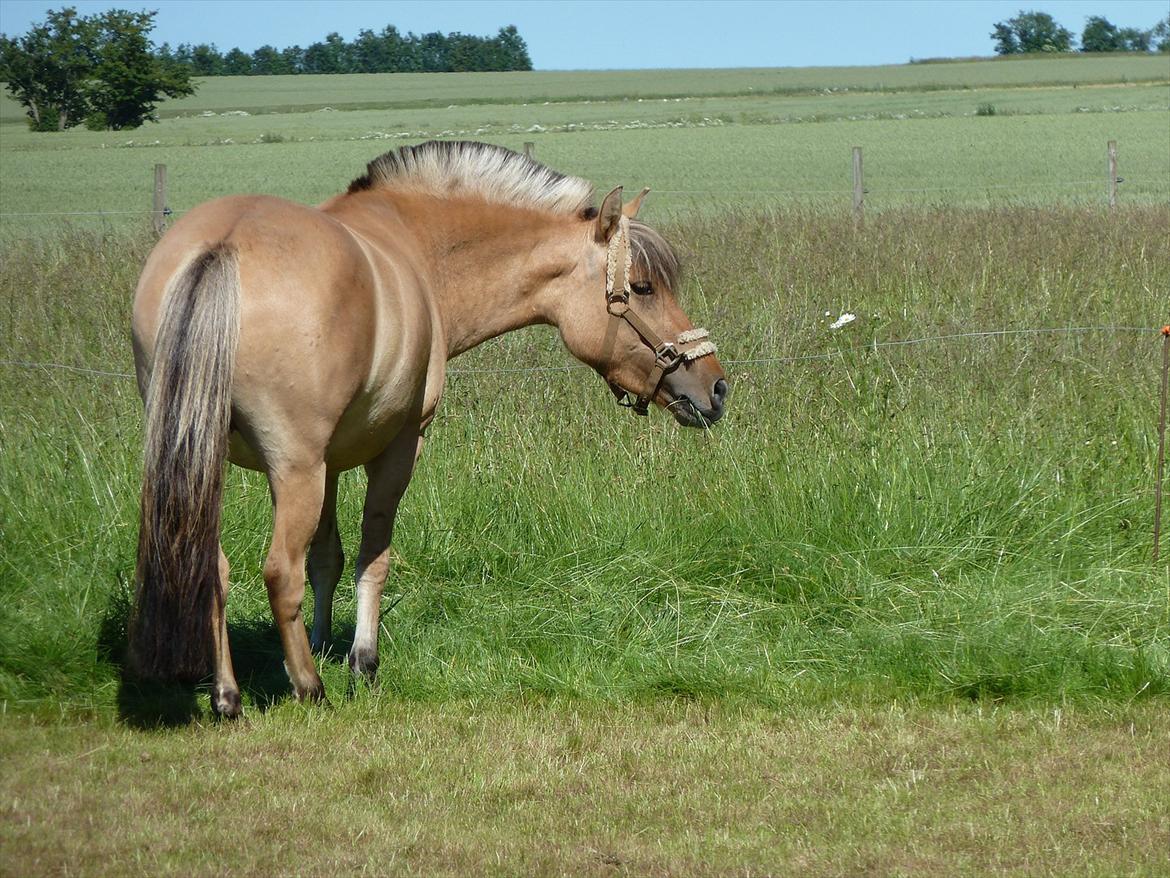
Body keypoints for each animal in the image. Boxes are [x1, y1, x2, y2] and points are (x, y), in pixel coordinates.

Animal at [132, 139, 725, 716]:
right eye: (642, 287)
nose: (715, 387)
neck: (416, 247)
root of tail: (224, 247)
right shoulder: (397, 447)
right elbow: (373, 556)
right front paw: (362, 664)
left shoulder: (332, 462)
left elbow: (328, 557)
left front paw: (321, 644)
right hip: (293, 469)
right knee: (280, 572)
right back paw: (309, 688)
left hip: (223, 460)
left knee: (214, 567)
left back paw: (228, 696)